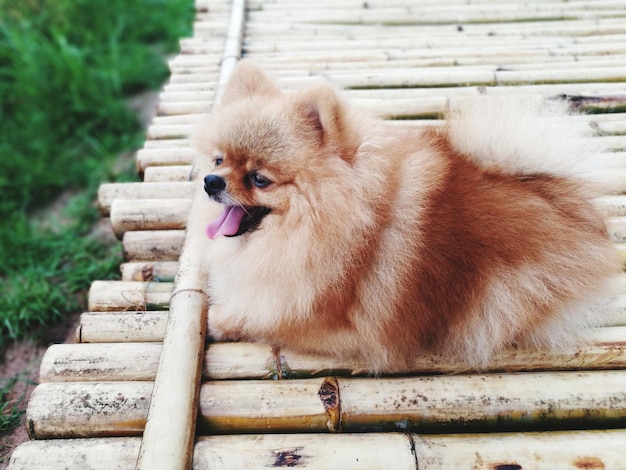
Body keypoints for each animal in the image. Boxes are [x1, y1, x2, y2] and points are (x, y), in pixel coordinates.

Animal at [196, 60, 620, 372]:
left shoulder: (326, 323)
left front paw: (222, 319)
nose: (211, 181)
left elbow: (262, 318)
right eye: (218, 160)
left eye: (259, 178)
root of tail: (562, 198)